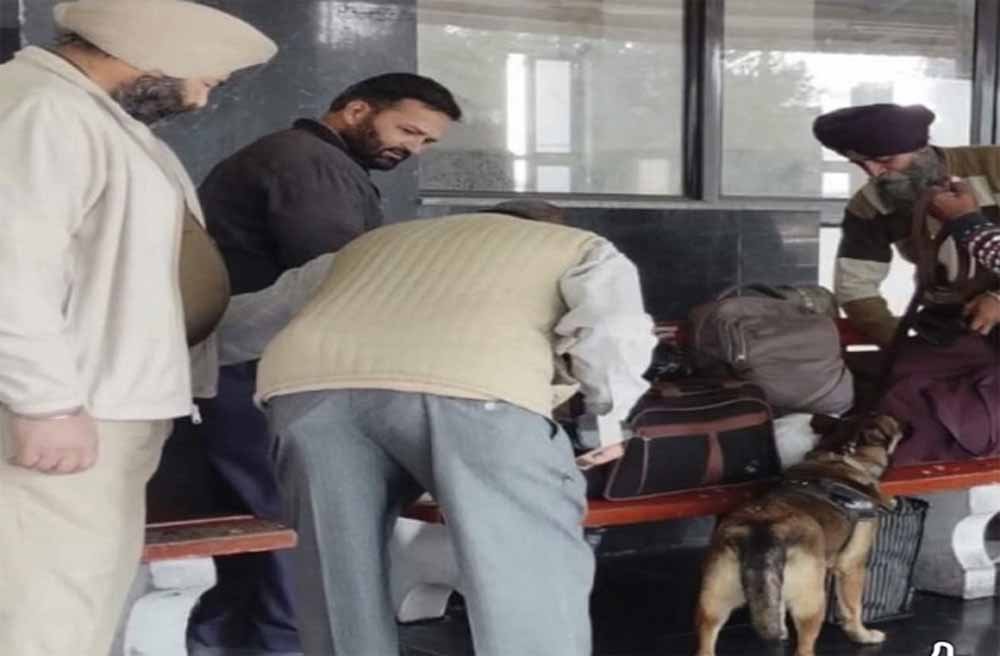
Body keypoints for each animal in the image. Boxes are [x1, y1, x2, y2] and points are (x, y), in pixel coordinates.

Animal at [694, 413, 905, 656]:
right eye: (894, 425)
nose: (908, 426)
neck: (842, 453)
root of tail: (762, 530)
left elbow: (777, 606)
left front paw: (780, 630)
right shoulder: (852, 566)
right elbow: (853, 608)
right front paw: (863, 636)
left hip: (713, 600)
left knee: (706, 642)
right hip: (812, 602)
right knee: (804, 647)